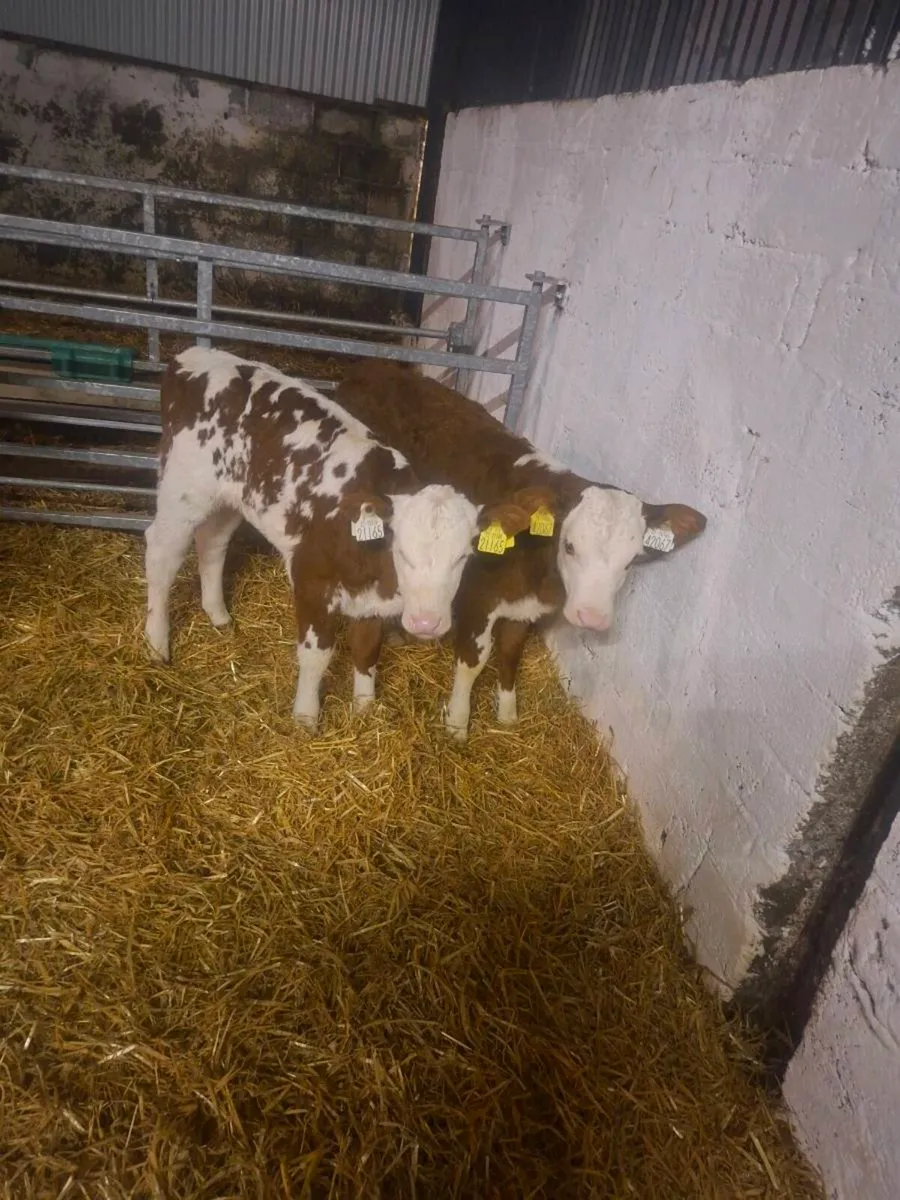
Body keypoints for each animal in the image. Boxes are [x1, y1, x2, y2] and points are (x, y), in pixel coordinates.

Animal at [144, 347, 526, 730]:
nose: (427, 623)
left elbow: (367, 649)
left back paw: (218, 615)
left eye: (463, 557)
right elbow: (317, 655)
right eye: (402, 551)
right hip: (183, 490)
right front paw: (305, 718)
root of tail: (194, 356)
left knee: (213, 542)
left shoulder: (371, 602)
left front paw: (364, 708)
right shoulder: (310, 579)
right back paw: (157, 643)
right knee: (161, 553)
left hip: (227, 499)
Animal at [334, 360, 707, 740]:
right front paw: (457, 723)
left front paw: (508, 714)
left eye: (631, 561)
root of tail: (378, 366)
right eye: (570, 546)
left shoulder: (523, 609)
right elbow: (473, 661)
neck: (537, 568)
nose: (591, 617)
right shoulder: (479, 598)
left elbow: (511, 653)